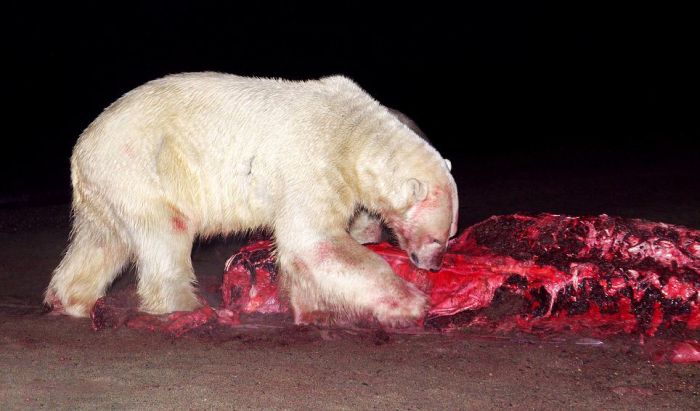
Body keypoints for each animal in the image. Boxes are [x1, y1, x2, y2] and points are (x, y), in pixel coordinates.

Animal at [45, 72, 460, 326]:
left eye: (450, 235)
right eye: (438, 237)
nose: (433, 264)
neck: (353, 132)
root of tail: (83, 146)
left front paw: (314, 307)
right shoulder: (313, 161)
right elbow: (314, 241)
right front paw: (412, 303)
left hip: (107, 185)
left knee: (103, 240)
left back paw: (72, 301)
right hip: (141, 165)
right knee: (166, 232)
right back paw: (187, 308)